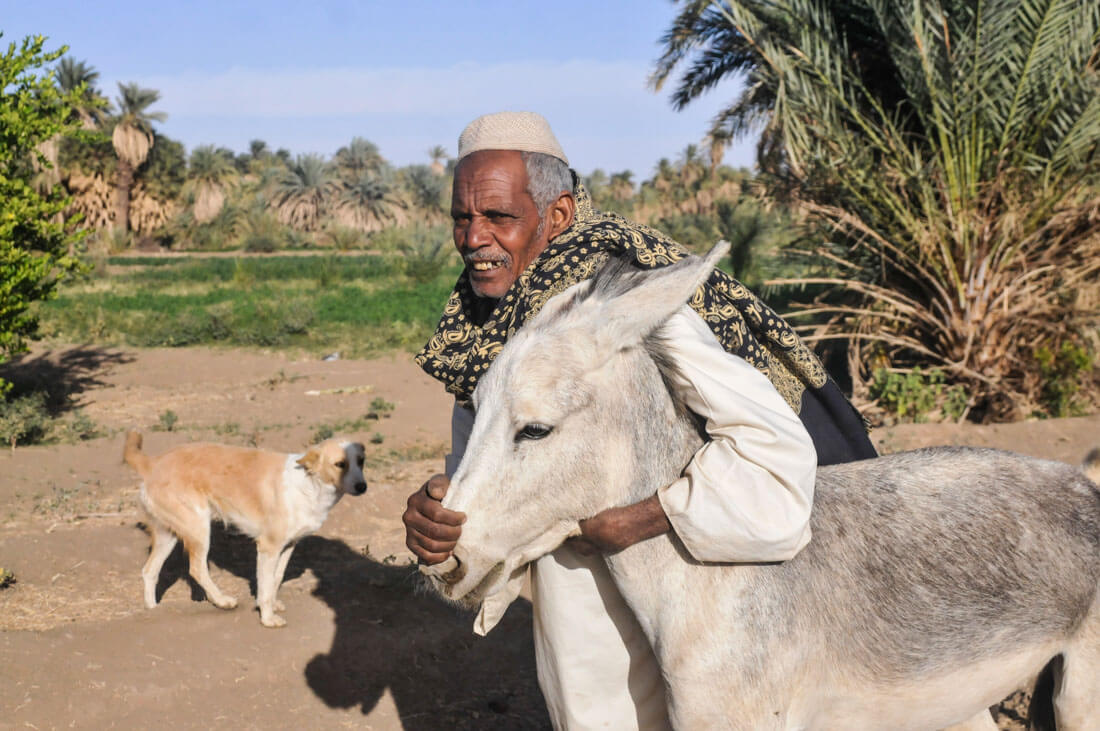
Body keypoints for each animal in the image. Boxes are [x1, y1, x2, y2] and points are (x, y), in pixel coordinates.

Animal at [123, 430, 367, 624]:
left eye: (361, 461)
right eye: (340, 464)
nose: (363, 487)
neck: (309, 484)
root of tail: (154, 462)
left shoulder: (288, 545)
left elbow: (275, 579)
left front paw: (270, 605)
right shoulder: (268, 547)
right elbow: (266, 584)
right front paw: (268, 619)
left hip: (170, 533)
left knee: (149, 571)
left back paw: (153, 611)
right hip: (198, 528)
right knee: (196, 568)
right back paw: (222, 601)